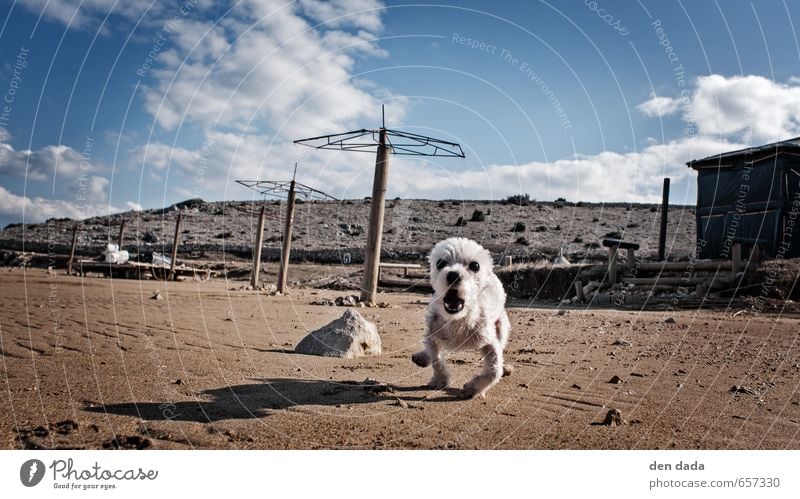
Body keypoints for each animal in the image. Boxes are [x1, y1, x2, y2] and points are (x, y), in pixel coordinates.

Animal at [412, 238, 512, 398]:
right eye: (440, 263)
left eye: (475, 265)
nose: (453, 275)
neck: (458, 319)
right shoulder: (433, 335)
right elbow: (436, 359)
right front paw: (440, 380)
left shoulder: (489, 341)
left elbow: (495, 370)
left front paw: (473, 387)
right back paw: (423, 356)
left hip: (501, 327)